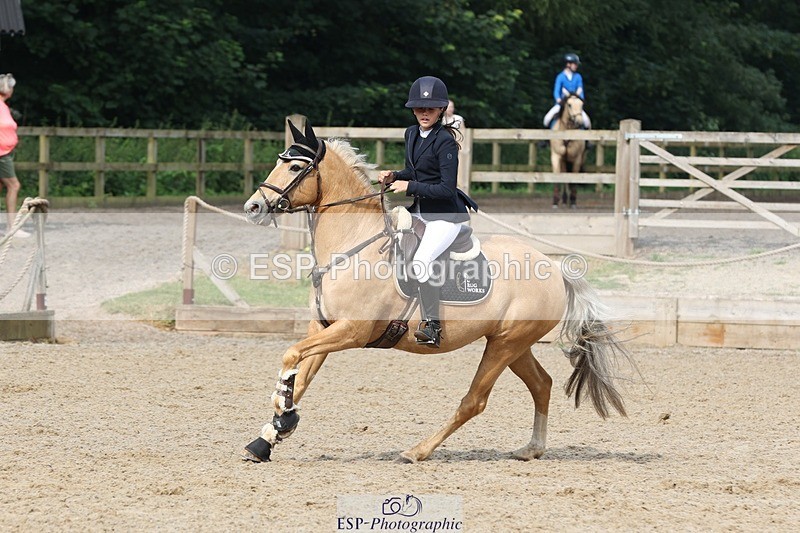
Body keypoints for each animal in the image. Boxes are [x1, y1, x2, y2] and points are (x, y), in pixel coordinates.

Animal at [241, 120, 629, 463]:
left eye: (294, 166)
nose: (252, 207)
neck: (352, 245)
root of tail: (555, 269)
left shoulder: (351, 331)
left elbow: (291, 355)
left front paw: (282, 412)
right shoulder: (322, 327)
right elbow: (301, 375)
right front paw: (270, 435)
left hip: (505, 344)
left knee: (474, 401)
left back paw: (417, 451)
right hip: (511, 343)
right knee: (542, 384)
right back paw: (531, 449)